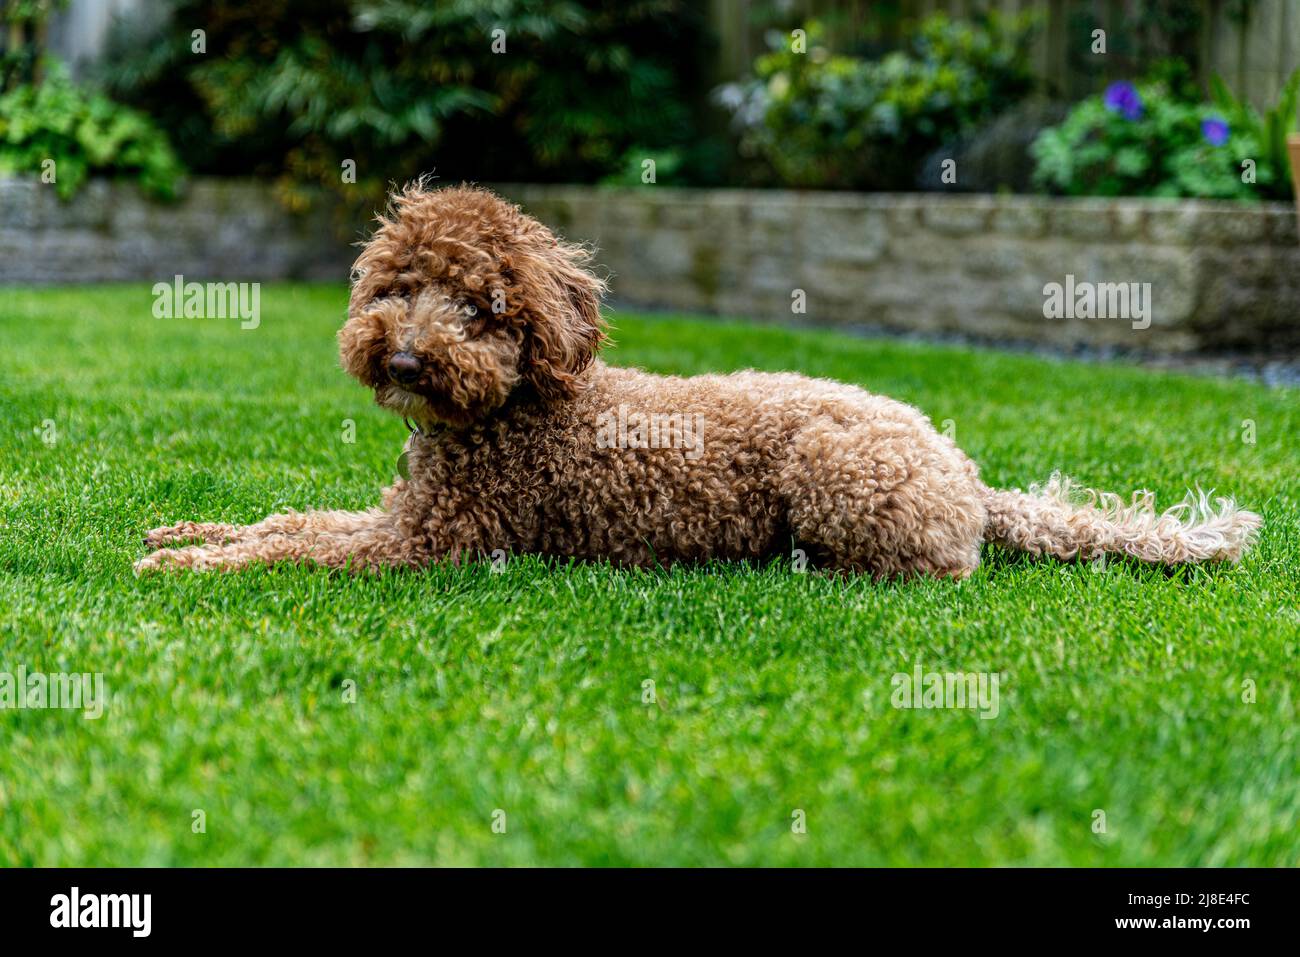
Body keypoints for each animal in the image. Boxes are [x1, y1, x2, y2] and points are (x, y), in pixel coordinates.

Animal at [139, 184, 1258, 579]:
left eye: (483, 307)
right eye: (397, 286)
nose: (407, 358)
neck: (511, 408)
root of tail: (967, 473)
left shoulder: (434, 543)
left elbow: (296, 551)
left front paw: (188, 566)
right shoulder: (398, 512)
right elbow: (291, 520)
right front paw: (186, 532)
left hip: (837, 477)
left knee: (946, 568)